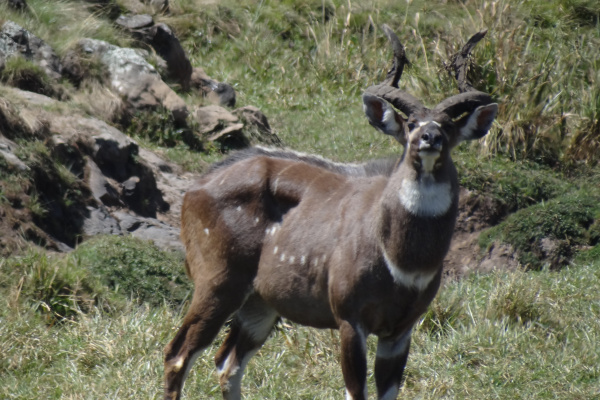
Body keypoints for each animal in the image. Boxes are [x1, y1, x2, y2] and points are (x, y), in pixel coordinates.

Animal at [163, 26, 496, 398]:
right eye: (410, 122)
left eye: (449, 126)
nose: (430, 137)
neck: (402, 260)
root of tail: (195, 187)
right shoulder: (350, 318)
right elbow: (355, 391)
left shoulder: (400, 329)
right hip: (217, 284)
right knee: (178, 355)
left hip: (259, 304)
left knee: (227, 362)